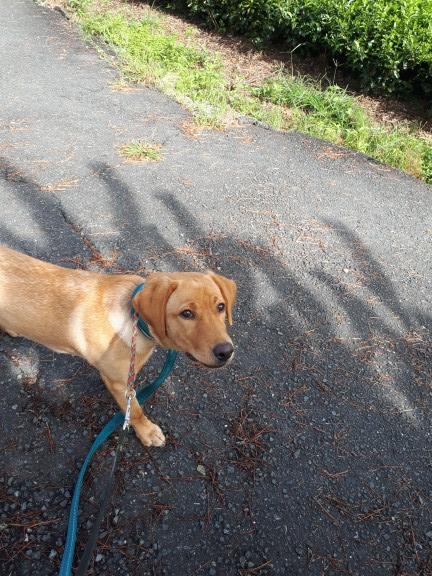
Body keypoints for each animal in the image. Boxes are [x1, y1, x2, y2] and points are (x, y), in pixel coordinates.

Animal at [0, 245, 236, 447]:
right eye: (186, 313)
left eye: (220, 307)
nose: (226, 352)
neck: (136, 321)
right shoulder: (119, 383)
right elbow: (136, 410)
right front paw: (147, 431)